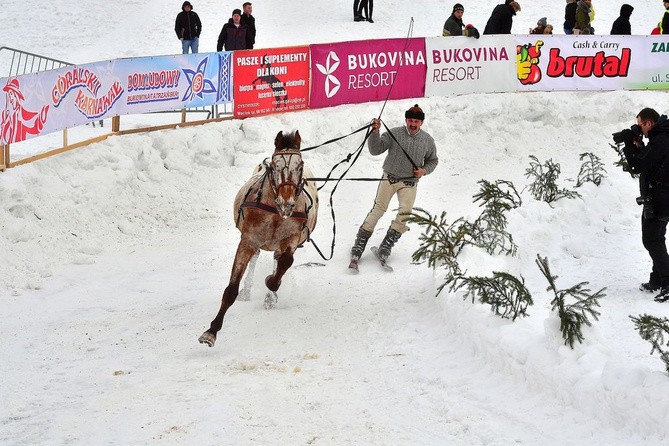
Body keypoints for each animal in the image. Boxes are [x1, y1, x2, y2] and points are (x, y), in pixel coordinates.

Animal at [198, 131, 318, 346]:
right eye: (275, 164)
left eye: (300, 165)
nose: (287, 203)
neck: (276, 211)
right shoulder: (248, 240)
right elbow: (231, 290)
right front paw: (211, 331)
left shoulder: (292, 238)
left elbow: (285, 262)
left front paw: (272, 285)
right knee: (256, 259)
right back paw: (247, 291)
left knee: (279, 259)